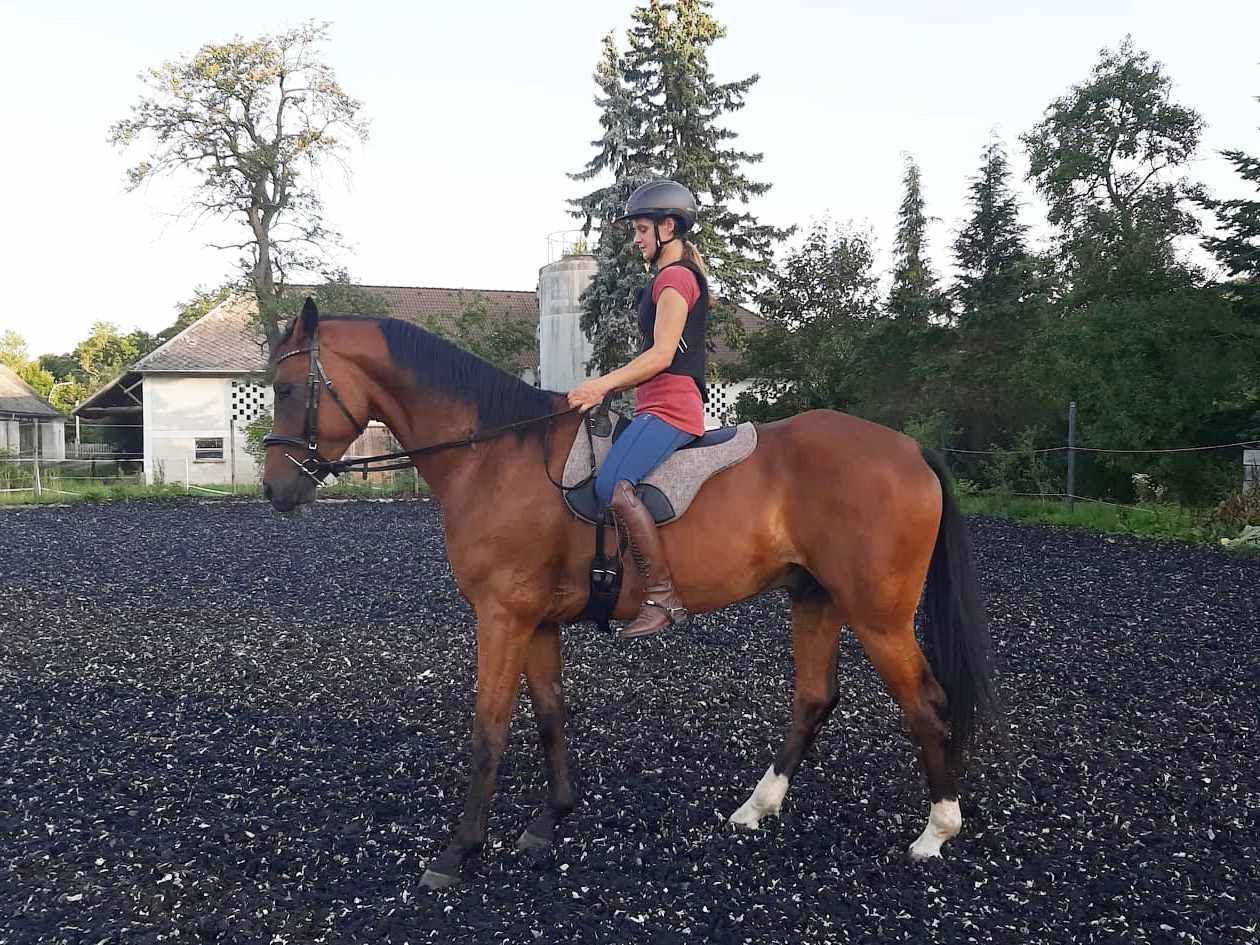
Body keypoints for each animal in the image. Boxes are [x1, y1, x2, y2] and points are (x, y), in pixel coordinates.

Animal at [261, 299, 997, 889]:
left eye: (289, 387)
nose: (275, 489)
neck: (495, 456)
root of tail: (910, 449)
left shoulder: (501, 615)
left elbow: (488, 730)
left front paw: (458, 851)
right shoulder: (535, 619)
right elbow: (550, 714)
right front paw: (549, 820)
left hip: (879, 616)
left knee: (927, 705)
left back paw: (936, 831)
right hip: (814, 598)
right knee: (814, 699)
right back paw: (756, 808)